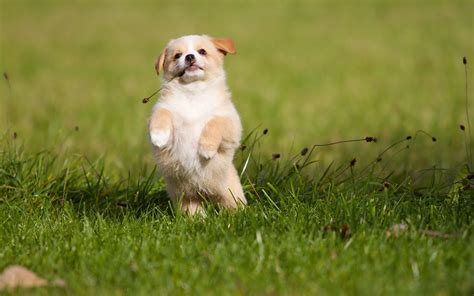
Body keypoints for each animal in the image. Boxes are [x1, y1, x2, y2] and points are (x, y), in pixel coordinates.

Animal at [149, 34, 246, 215]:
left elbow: (214, 123)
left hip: (230, 193)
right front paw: (158, 137)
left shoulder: (230, 122)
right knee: (193, 210)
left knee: (232, 205)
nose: (189, 57)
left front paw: (206, 149)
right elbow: (161, 114)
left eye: (202, 51)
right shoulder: (165, 108)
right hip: (186, 198)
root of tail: (205, 193)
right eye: (177, 55)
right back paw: (198, 219)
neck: (193, 92)